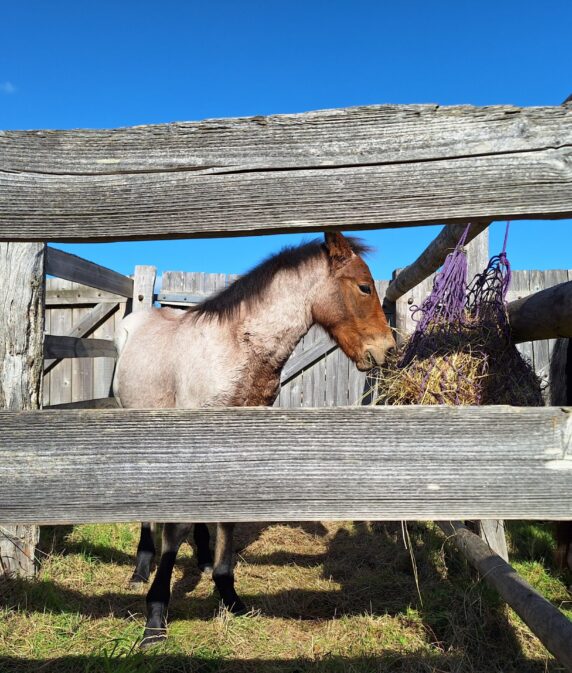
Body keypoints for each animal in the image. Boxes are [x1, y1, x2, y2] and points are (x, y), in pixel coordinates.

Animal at [113, 231, 395, 645]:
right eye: (363, 287)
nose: (387, 350)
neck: (236, 348)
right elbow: (175, 526)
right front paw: (155, 618)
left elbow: (226, 517)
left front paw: (229, 596)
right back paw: (140, 570)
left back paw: (200, 558)